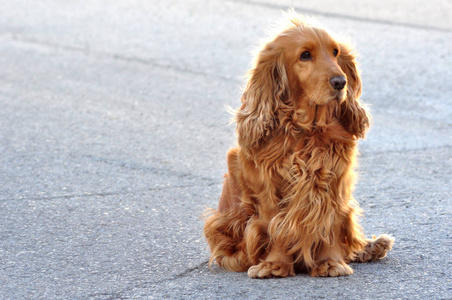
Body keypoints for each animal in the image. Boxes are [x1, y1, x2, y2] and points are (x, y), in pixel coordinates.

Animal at [203, 13, 394, 276]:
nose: (341, 82)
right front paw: (274, 264)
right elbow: (277, 226)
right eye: (305, 55)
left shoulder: (333, 182)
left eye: (335, 52)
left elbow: (330, 223)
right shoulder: (271, 187)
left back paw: (372, 247)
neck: (307, 130)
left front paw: (331, 262)